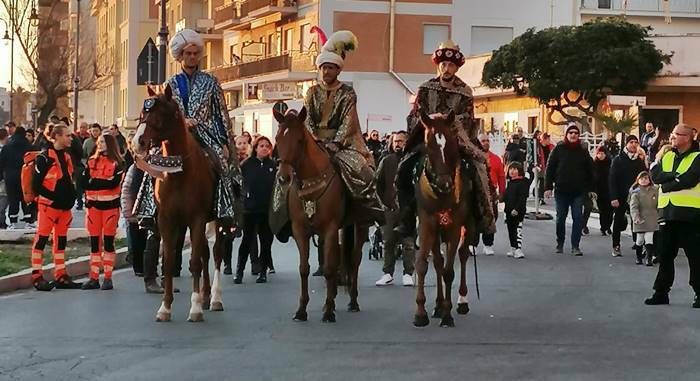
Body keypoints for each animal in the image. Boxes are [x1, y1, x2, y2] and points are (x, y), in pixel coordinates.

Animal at [132, 84, 227, 322]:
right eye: (144, 111)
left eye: (161, 113)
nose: (138, 142)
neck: (179, 174)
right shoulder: (167, 219)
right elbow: (168, 262)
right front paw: (165, 308)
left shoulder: (197, 218)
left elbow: (194, 262)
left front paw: (195, 309)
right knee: (205, 252)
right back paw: (205, 294)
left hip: (217, 220)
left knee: (216, 253)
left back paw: (214, 298)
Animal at [272, 107, 364, 324]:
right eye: (278, 138)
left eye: (299, 140)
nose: (283, 177)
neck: (312, 183)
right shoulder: (300, 230)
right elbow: (304, 268)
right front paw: (301, 310)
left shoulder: (330, 228)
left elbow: (330, 268)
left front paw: (329, 311)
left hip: (360, 224)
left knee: (354, 258)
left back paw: (352, 301)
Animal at [412, 110, 474, 326]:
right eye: (429, 145)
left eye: (452, 144)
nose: (445, 183)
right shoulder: (426, 224)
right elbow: (423, 264)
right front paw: (420, 313)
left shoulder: (454, 227)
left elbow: (449, 271)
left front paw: (447, 315)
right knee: (438, 262)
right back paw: (438, 305)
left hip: (468, 226)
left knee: (463, 255)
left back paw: (462, 302)